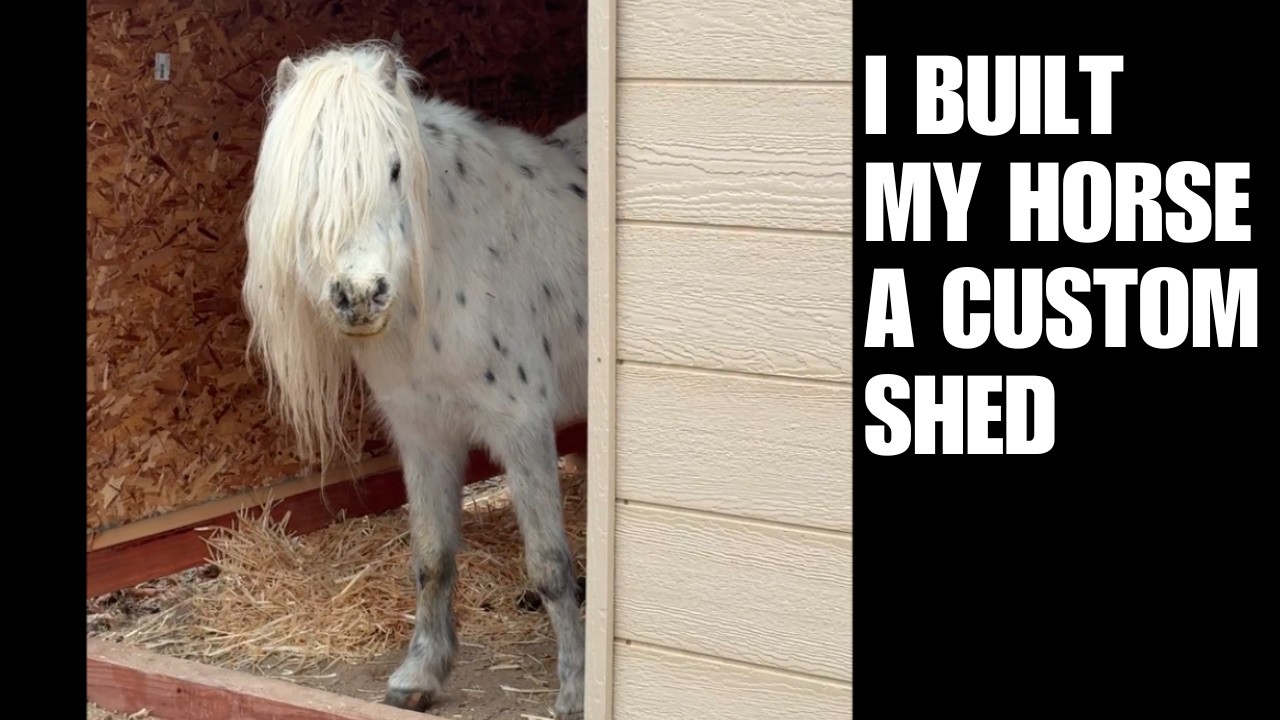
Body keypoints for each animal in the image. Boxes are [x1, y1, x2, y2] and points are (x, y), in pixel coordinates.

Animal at [241, 41, 590, 719]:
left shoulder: (522, 428)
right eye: (305, 178)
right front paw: (421, 674)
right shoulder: (424, 433)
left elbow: (550, 564)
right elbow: (431, 556)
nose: (360, 295)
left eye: (396, 169)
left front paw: (576, 688)